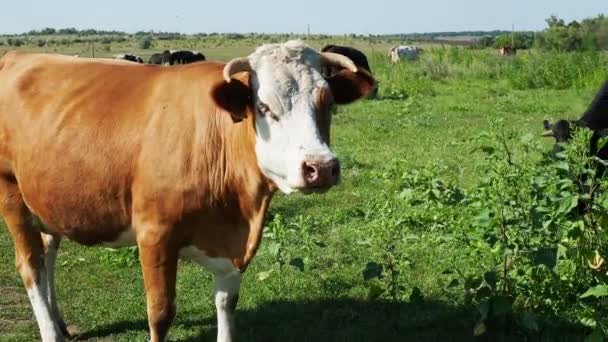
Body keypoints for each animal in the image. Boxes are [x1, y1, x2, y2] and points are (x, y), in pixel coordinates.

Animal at [0, 40, 376, 342]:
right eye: (265, 107)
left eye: (327, 103)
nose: (321, 167)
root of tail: (16, 56)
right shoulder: (155, 234)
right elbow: (160, 313)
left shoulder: (231, 247)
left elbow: (227, 303)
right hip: (12, 197)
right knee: (31, 267)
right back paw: (50, 331)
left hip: (49, 200)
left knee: (48, 252)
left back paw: (60, 323)